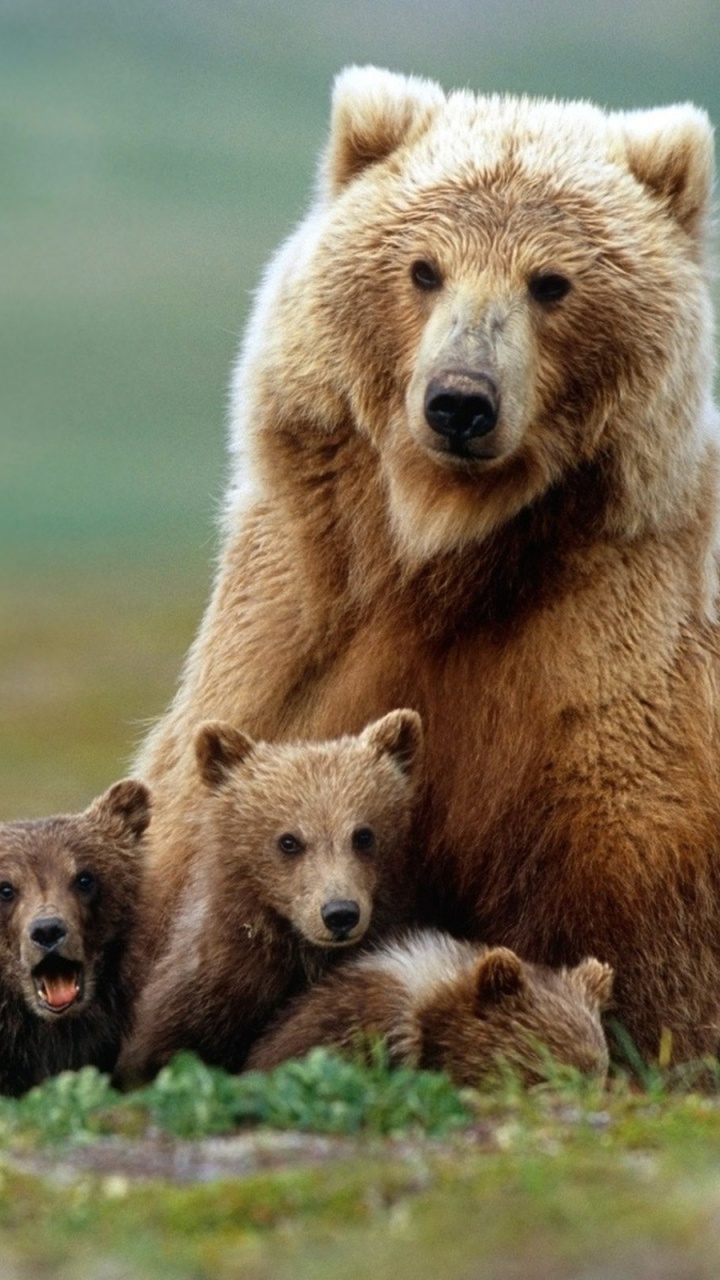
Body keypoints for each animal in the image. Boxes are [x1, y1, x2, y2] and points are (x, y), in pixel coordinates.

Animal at [137, 67, 720, 1066]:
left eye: (551, 282)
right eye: (422, 268)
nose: (460, 401)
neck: (446, 550)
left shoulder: (608, 665)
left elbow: (637, 941)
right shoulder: (296, 627)